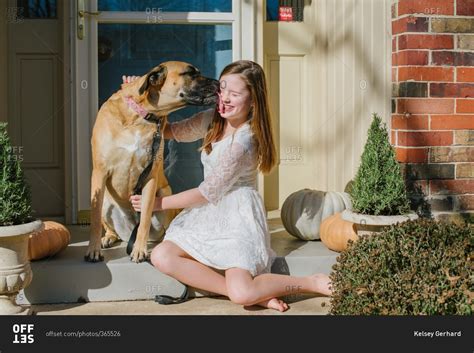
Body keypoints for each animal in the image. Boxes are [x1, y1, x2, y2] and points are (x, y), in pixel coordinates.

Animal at [86, 62, 218, 262]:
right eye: (190, 73)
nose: (218, 82)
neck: (142, 116)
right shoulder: (99, 172)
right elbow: (93, 219)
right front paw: (92, 249)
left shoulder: (150, 176)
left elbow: (145, 218)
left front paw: (139, 250)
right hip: (106, 202)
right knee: (108, 226)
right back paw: (107, 238)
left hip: (164, 193)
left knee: (159, 230)